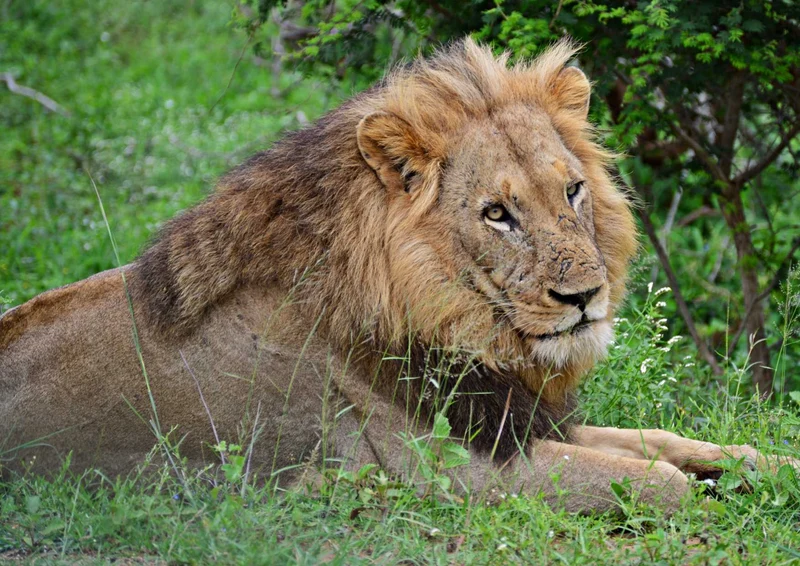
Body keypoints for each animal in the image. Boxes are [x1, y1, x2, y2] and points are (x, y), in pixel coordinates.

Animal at [0, 39, 792, 513]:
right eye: (497, 214)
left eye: (570, 191)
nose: (585, 298)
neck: (456, 323)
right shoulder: (449, 466)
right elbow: (656, 479)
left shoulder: (515, 418)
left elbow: (675, 443)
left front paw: (775, 465)